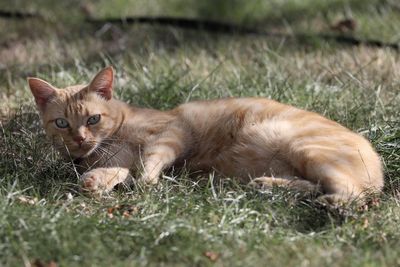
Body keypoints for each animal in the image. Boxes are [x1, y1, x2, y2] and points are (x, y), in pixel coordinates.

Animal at [28, 68, 384, 206]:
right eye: (61, 123)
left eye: (93, 118)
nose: (79, 139)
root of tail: (379, 165)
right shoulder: (117, 161)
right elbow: (117, 172)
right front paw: (96, 182)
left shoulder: (173, 133)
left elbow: (149, 162)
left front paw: (147, 183)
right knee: (313, 186)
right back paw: (268, 186)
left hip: (305, 149)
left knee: (350, 193)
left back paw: (331, 205)